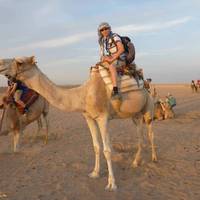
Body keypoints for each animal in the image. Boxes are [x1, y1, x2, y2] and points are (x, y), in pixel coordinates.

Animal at [0, 56, 158, 191]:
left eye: (20, 62)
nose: (1, 63)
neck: (83, 95)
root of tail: (146, 84)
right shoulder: (89, 117)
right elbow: (96, 146)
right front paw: (94, 173)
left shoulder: (103, 118)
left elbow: (107, 150)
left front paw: (111, 184)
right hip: (135, 115)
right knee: (140, 135)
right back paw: (135, 162)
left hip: (148, 108)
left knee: (150, 133)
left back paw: (154, 158)